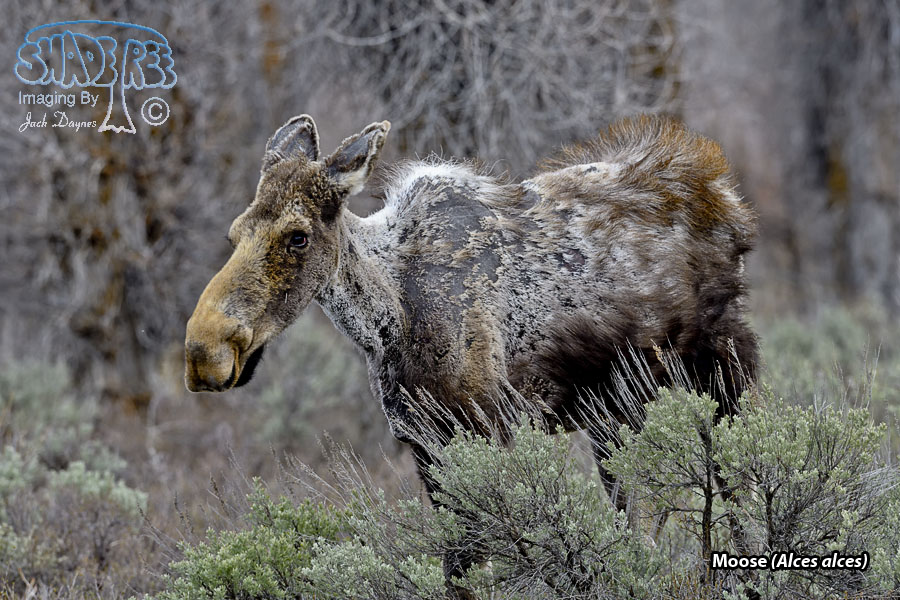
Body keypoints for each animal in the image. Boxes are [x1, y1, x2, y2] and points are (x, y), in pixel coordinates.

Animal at [184, 113, 758, 595]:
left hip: (725, 368)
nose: (204, 353)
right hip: (613, 412)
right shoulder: (423, 444)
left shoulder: (485, 427)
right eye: (235, 232)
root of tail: (728, 198)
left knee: (738, 492)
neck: (387, 322)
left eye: (298, 236)